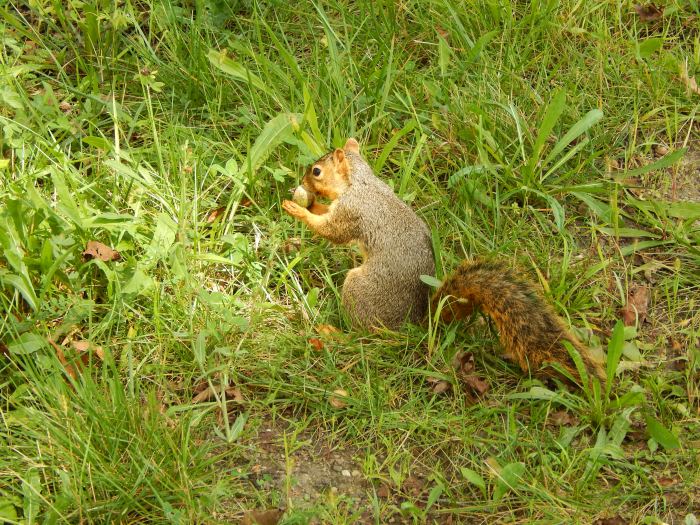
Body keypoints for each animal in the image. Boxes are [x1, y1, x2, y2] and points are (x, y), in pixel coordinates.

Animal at [282, 138, 606, 386]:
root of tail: (412, 324)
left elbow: (332, 231)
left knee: (360, 334)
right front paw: (311, 203)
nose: (302, 181)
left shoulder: (354, 211)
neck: (360, 182)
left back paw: (334, 333)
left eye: (317, 171)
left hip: (358, 290)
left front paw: (299, 210)